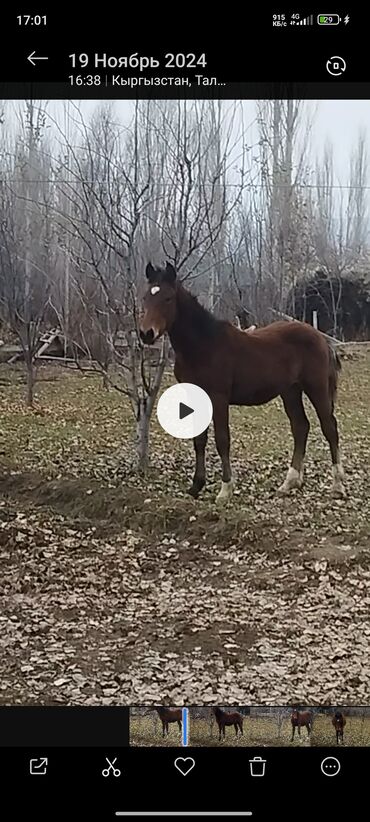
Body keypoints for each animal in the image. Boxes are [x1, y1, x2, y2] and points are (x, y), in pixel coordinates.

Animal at [139, 268, 344, 506]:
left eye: (168, 298)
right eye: (146, 297)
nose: (146, 333)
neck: (203, 345)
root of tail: (320, 337)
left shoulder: (218, 397)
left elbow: (222, 440)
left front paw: (225, 490)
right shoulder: (196, 396)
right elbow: (199, 440)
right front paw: (196, 486)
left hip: (316, 388)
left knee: (329, 428)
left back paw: (338, 486)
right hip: (290, 391)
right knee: (300, 427)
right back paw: (289, 483)